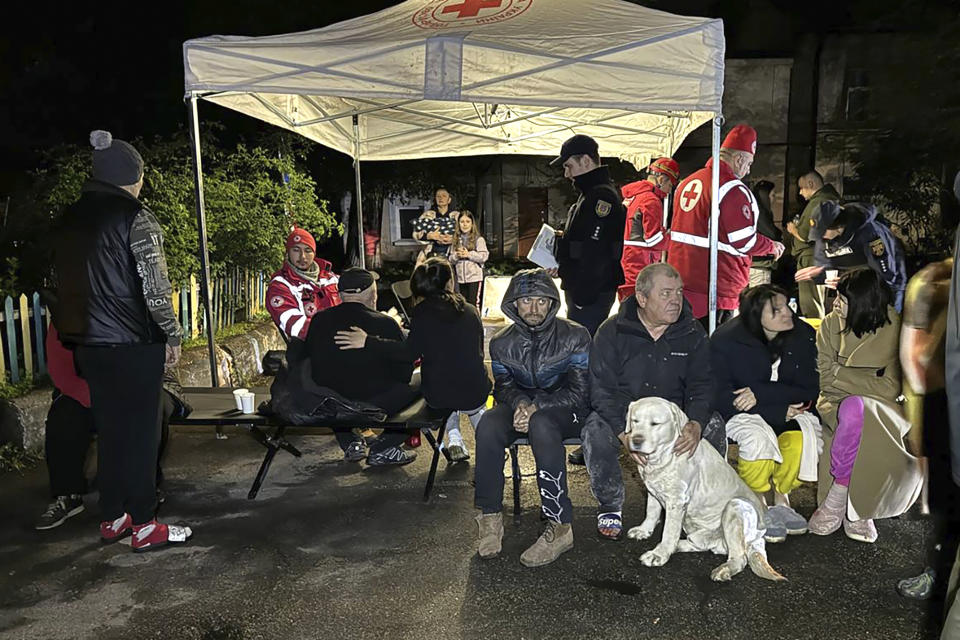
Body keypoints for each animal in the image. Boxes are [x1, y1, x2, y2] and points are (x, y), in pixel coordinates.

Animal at [628, 398, 784, 584]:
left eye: (655, 423)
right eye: (635, 421)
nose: (636, 440)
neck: (662, 457)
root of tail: (759, 536)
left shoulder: (677, 501)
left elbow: (668, 531)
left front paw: (659, 554)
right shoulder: (653, 490)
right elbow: (651, 512)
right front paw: (644, 530)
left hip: (735, 507)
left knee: (740, 557)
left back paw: (723, 569)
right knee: (702, 544)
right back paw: (678, 545)